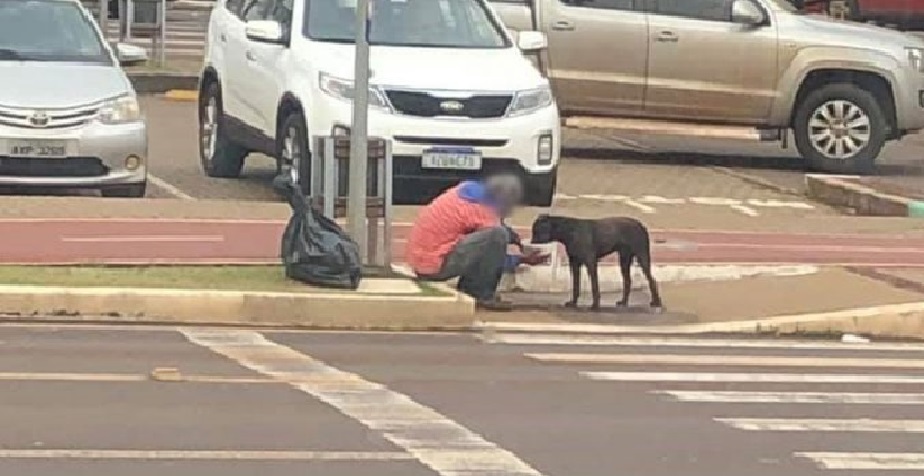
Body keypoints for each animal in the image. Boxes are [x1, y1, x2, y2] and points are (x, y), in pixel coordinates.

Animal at [532, 214, 660, 310]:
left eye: (537, 229)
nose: (532, 240)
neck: (569, 231)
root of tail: (641, 225)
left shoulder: (590, 263)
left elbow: (594, 285)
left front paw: (595, 305)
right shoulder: (574, 264)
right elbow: (575, 285)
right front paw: (573, 302)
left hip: (642, 258)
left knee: (652, 280)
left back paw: (656, 302)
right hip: (624, 260)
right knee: (627, 280)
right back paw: (623, 302)